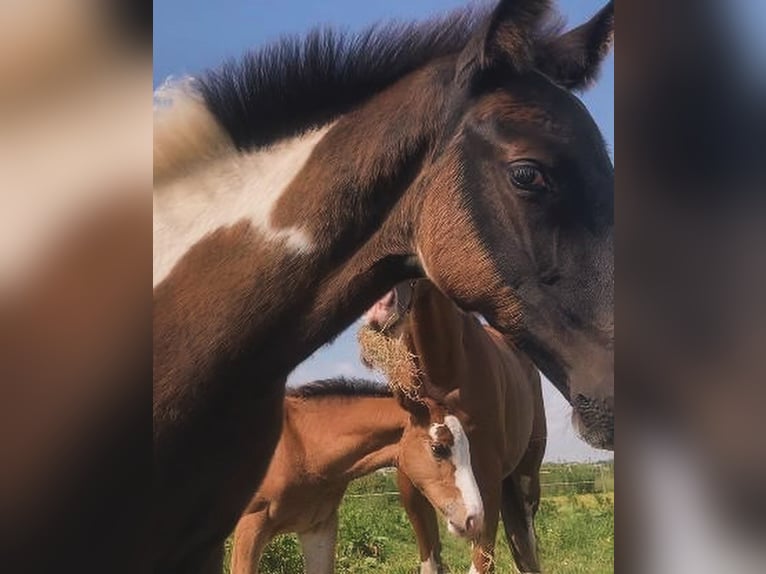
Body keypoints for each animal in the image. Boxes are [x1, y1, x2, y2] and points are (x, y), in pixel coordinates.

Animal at [364, 282, 548, 572]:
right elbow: (430, 560)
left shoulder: (487, 480)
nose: (380, 311)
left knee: (527, 543)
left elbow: (482, 561)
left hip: (525, 479)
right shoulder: (412, 483)